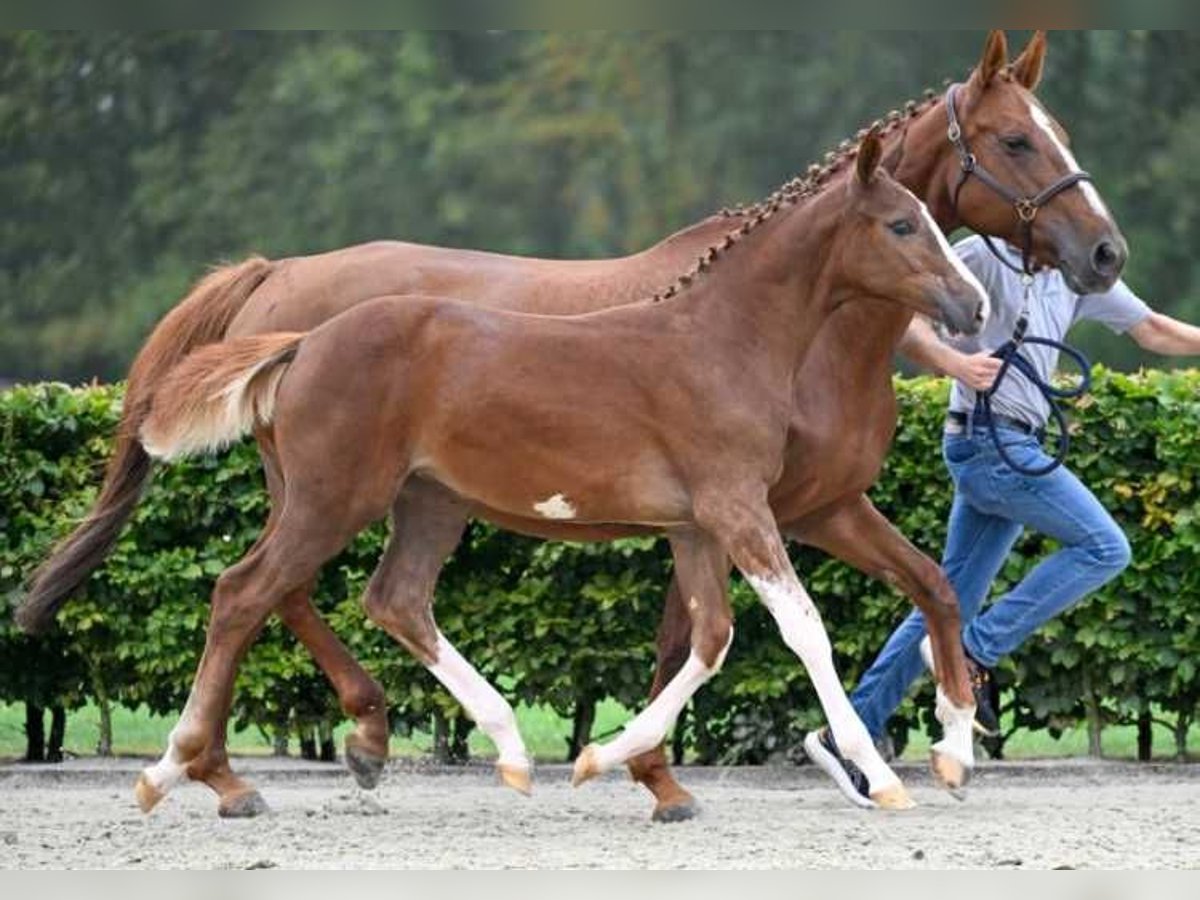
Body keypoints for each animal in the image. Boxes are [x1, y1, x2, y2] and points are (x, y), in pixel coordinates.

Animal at [136, 135, 988, 816]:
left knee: (393, 598)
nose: (974, 305)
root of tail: (302, 344)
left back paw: (509, 753)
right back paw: (179, 769)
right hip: (332, 500)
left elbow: (710, 638)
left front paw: (603, 758)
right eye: (902, 223)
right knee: (243, 593)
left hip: (428, 504)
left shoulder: (696, 526)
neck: (723, 338)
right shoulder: (740, 510)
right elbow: (801, 629)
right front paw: (882, 777)